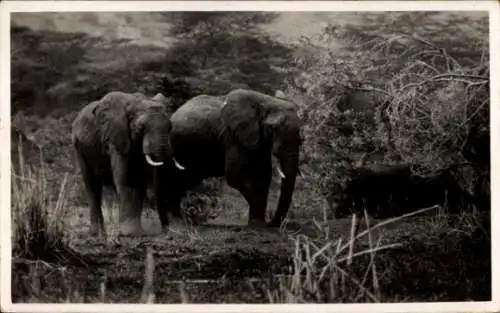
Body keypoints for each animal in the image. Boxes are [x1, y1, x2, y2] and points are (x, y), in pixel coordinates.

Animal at [71, 91, 185, 235]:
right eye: (141, 128)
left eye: (170, 127)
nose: (166, 229)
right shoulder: (115, 138)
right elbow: (124, 179)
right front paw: (129, 234)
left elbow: (140, 182)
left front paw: (137, 233)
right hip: (79, 146)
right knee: (92, 185)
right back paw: (97, 234)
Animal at [164, 88, 302, 227]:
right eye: (271, 128)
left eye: (299, 130)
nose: (271, 223)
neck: (266, 101)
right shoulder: (232, 135)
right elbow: (235, 175)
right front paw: (258, 224)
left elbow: (263, 174)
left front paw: (258, 223)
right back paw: (178, 221)